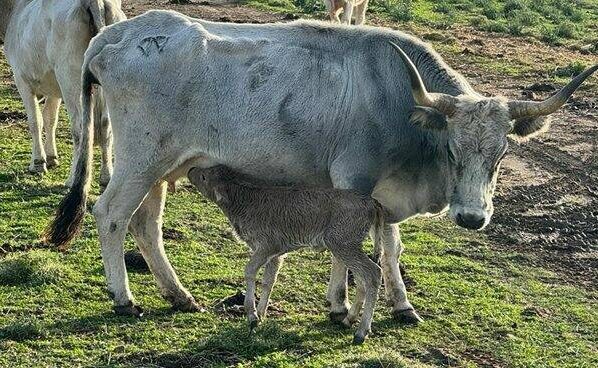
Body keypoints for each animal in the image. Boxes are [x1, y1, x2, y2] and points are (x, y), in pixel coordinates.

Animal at [0, 0, 125, 185]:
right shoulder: (53, 89)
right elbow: (50, 119)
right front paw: (51, 157)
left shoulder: (22, 80)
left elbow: (35, 121)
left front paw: (38, 162)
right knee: (105, 123)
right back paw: (106, 175)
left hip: (70, 79)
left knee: (81, 127)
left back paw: (73, 178)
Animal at [45, 9, 598, 324]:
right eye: (451, 150)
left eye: (500, 154)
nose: (472, 217)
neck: (398, 100)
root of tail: (120, 32)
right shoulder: (352, 182)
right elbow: (348, 249)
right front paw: (339, 305)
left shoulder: (382, 197)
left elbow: (390, 247)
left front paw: (402, 304)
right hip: (139, 159)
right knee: (111, 216)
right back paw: (124, 298)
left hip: (162, 164)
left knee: (146, 225)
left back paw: (179, 295)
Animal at [190, 165, 386, 344]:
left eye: (204, 177)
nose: (191, 169)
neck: (244, 200)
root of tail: (372, 202)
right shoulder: (276, 254)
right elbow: (268, 281)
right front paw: (260, 315)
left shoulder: (266, 246)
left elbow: (250, 271)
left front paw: (252, 315)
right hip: (350, 247)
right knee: (362, 278)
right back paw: (348, 320)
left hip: (342, 244)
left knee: (373, 273)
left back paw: (361, 332)